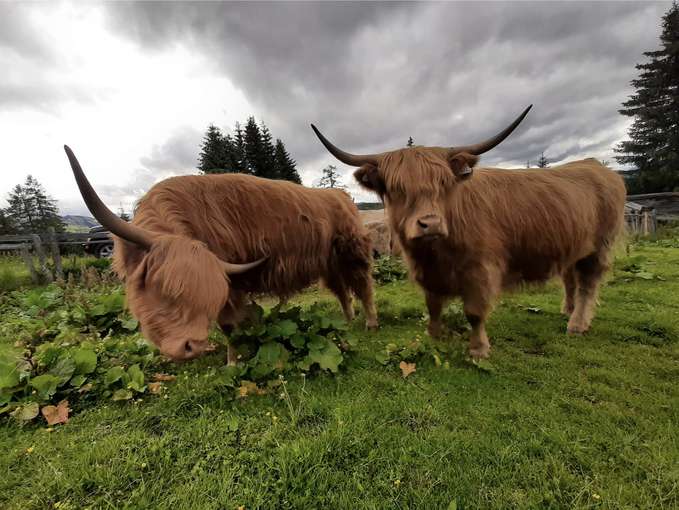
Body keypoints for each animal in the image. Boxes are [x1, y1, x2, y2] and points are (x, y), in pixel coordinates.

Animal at [64, 147, 380, 362]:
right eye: (163, 288)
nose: (190, 346)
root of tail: (340, 195)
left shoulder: (232, 286)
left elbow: (229, 325)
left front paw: (232, 362)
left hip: (352, 252)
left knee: (363, 285)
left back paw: (370, 323)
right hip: (329, 262)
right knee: (341, 290)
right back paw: (348, 321)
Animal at [314, 104, 628, 358]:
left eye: (444, 183)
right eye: (397, 188)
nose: (430, 224)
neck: (436, 252)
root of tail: (596, 166)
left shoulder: (481, 270)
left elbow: (474, 312)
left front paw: (478, 350)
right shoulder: (428, 273)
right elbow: (433, 305)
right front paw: (433, 336)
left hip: (599, 246)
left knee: (588, 283)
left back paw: (577, 324)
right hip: (574, 246)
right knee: (571, 278)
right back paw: (568, 310)